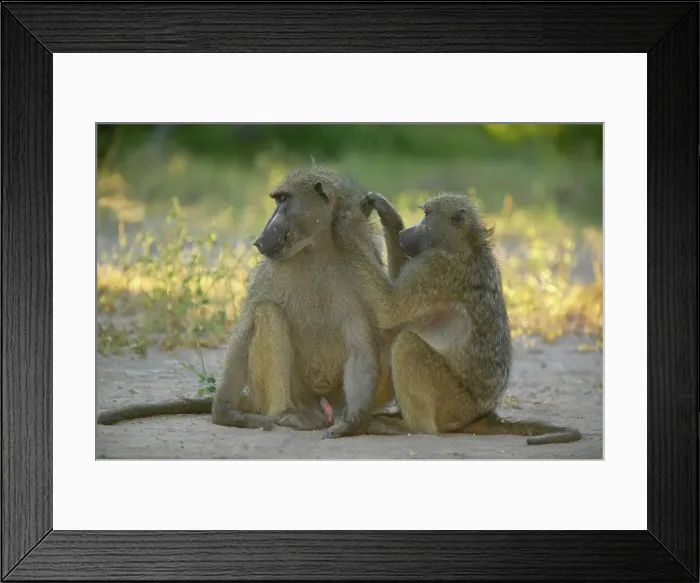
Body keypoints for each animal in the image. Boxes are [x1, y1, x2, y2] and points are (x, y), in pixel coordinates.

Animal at [97, 165, 404, 438]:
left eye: (284, 200)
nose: (260, 238)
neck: (317, 249)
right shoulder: (271, 271)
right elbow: (246, 328)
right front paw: (224, 413)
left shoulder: (362, 266)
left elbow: (362, 339)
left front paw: (354, 423)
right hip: (280, 394)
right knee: (268, 314)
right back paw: (294, 415)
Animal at [344, 190, 582, 446]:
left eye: (427, 215)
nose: (403, 234)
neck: (465, 244)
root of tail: (482, 413)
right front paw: (388, 215)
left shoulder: (434, 267)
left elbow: (390, 310)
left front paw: (344, 226)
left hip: (453, 404)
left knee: (408, 342)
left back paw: (407, 427)